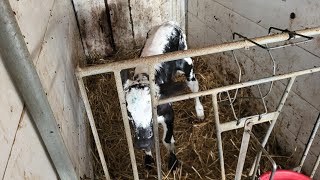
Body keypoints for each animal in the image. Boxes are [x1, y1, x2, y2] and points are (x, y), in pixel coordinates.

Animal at [124, 21, 204, 170]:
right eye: (130, 115)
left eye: (151, 109)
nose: (143, 143)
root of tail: (168, 24)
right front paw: (148, 159)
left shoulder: (169, 114)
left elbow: (167, 140)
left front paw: (173, 162)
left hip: (186, 63)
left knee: (194, 86)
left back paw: (200, 111)